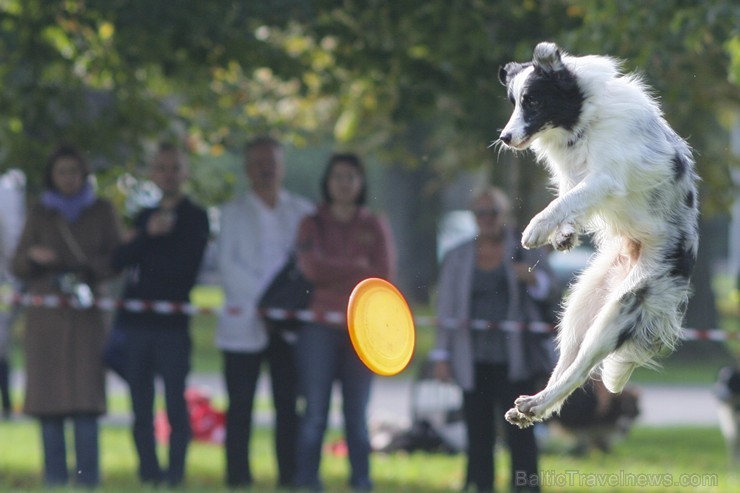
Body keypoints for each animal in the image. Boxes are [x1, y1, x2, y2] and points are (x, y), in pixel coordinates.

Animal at [498, 42, 700, 426]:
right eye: (513, 102)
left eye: (533, 101)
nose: (505, 137)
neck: (583, 123)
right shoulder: (574, 176)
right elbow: (569, 199)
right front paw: (563, 235)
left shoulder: (605, 179)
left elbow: (566, 200)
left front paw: (537, 229)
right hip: (580, 305)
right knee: (566, 363)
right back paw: (533, 404)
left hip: (618, 311)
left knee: (580, 370)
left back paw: (538, 404)